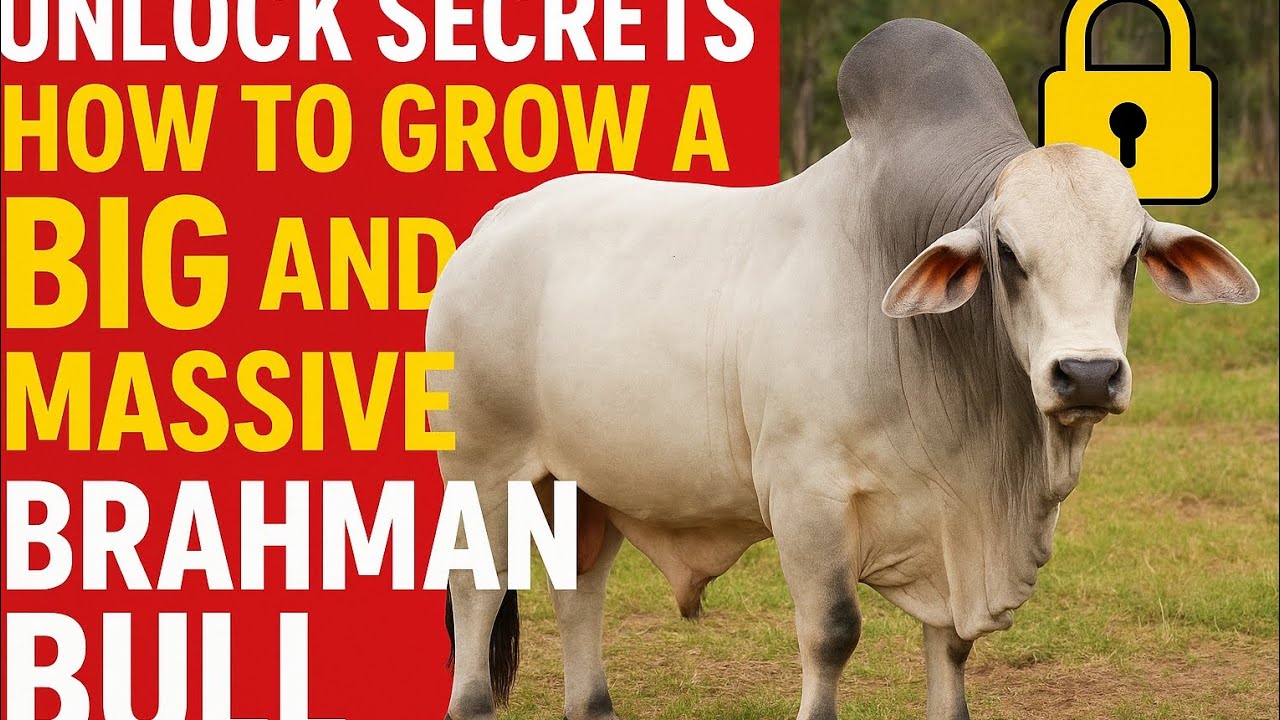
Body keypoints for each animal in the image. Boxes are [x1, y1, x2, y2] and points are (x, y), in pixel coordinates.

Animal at [425, 18, 1259, 720]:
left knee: (579, 592)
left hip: (585, 487)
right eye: (1009, 255)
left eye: (1131, 254)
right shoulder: (805, 497)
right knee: (477, 593)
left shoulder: (951, 541)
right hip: (483, 469)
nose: (1086, 375)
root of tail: (488, 228)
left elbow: (952, 653)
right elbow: (832, 633)